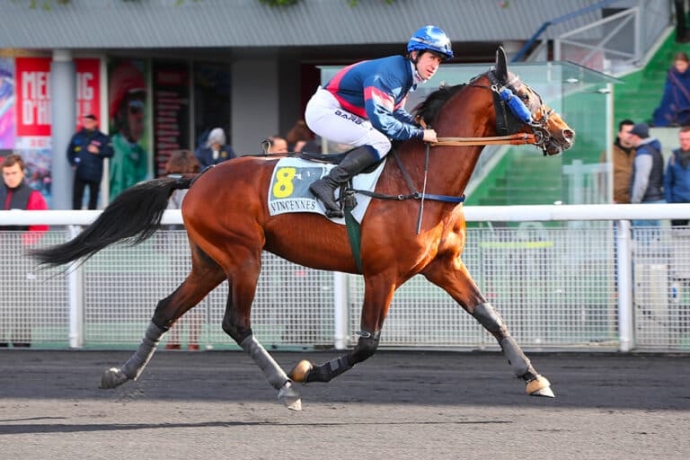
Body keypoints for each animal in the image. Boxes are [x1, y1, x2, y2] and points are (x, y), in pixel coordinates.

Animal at [31, 47, 574, 411]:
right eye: (525, 95)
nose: (566, 132)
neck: (423, 180)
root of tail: (200, 174)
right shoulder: (382, 274)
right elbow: (367, 344)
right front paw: (310, 370)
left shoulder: (443, 265)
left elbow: (492, 317)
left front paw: (534, 376)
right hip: (243, 256)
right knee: (236, 323)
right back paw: (285, 386)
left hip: (210, 262)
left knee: (166, 308)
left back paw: (119, 374)